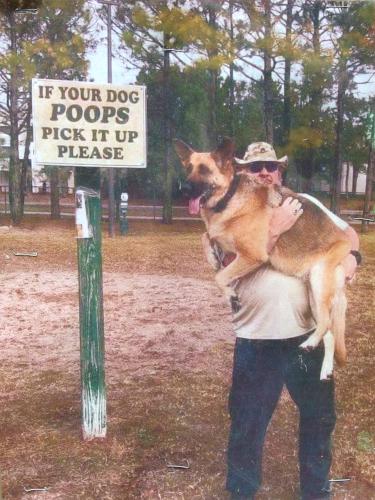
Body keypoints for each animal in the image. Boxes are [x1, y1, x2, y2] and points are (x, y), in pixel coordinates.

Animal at [175, 137, 352, 378]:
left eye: (204, 170)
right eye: (188, 168)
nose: (183, 188)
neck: (229, 198)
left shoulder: (253, 255)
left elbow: (219, 277)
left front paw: (230, 294)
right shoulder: (228, 247)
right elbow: (206, 236)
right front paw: (211, 256)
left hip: (318, 282)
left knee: (325, 324)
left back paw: (308, 344)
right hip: (314, 298)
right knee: (330, 335)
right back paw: (324, 368)